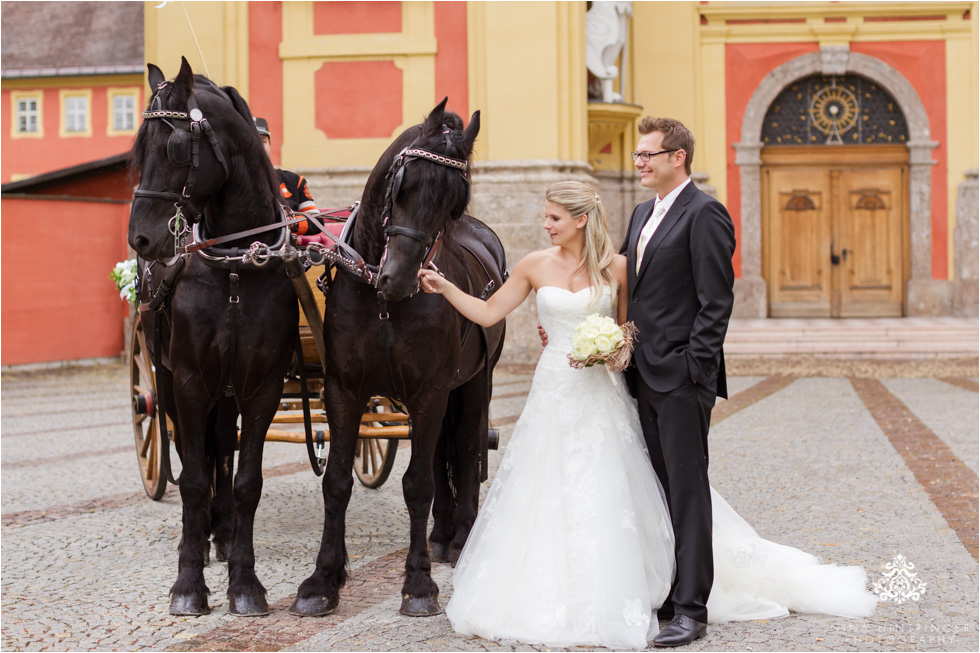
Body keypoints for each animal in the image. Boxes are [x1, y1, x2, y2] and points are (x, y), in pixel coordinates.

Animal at [127, 58, 294, 612]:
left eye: (175, 146)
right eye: (137, 149)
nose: (140, 238)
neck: (237, 266)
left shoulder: (261, 385)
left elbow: (246, 480)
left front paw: (244, 581)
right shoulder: (190, 380)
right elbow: (195, 478)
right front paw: (188, 582)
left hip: (228, 389)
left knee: (222, 444)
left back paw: (221, 534)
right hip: (167, 380)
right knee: (188, 451)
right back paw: (201, 538)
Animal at [290, 98, 506, 616]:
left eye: (454, 201)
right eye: (404, 184)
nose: (401, 278)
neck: (382, 302)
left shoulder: (431, 391)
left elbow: (418, 484)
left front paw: (418, 582)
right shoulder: (343, 390)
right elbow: (337, 481)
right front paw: (323, 580)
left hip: (473, 383)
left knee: (466, 447)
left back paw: (462, 537)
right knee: (443, 451)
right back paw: (443, 534)